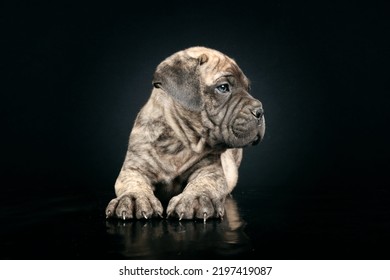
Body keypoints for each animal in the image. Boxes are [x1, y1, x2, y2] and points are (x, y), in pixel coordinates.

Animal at [105, 46, 266, 221]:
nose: (260, 111)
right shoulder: (134, 169)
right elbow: (133, 184)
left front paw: (195, 199)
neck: (178, 141)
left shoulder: (209, 169)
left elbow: (203, 184)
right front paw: (133, 198)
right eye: (223, 87)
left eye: (248, 89)